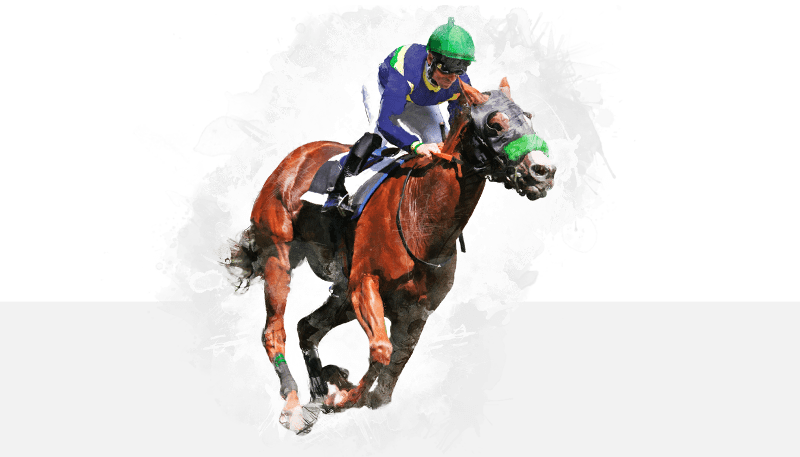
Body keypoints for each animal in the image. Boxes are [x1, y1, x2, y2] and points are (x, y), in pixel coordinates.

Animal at [225, 77, 556, 434]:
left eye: (529, 117)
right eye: (495, 125)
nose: (544, 171)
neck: (420, 217)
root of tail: (294, 159)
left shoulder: (415, 311)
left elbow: (387, 381)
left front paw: (339, 390)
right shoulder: (364, 285)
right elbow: (381, 351)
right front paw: (341, 396)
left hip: (341, 293)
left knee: (306, 327)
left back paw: (317, 393)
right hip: (279, 256)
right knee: (275, 332)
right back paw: (294, 405)